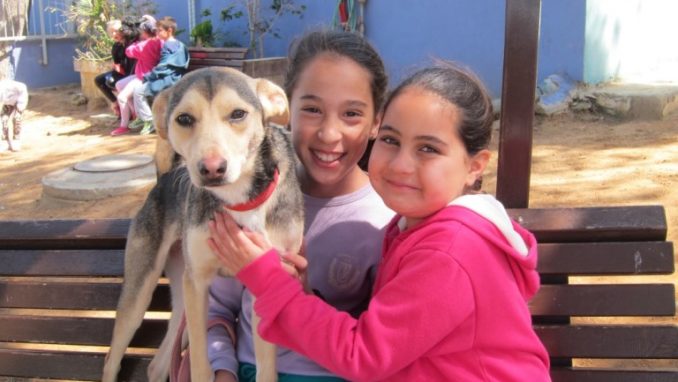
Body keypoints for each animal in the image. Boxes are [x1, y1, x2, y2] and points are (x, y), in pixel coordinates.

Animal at [102, 68, 304, 382]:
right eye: (184, 118)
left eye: (238, 114)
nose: (212, 169)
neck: (240, 201)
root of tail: (164, 177)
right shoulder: (197, 283)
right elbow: (199, 362)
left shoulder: (269, 282)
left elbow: (266, 366)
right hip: (142, 292)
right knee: (112, 359)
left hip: (180, 291)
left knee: (157, 364)